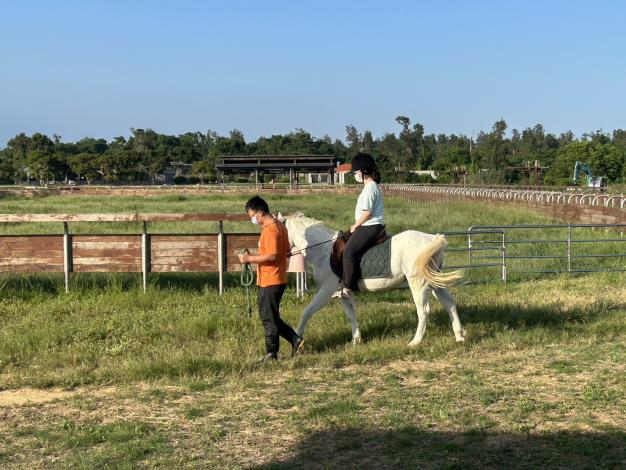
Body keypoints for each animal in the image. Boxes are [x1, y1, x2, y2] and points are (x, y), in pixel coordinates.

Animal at [280, 213, 466, 346]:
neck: (324, 251)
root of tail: (433, 238)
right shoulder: (341, 292)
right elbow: (350, 314)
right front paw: (356, 340)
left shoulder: (326, 291)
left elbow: (307, 312)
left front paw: (297, 340)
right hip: (434, 281)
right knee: (449, 303)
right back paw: (459, 336)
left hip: (418, 283)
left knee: (424, 310)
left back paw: (415, 342)